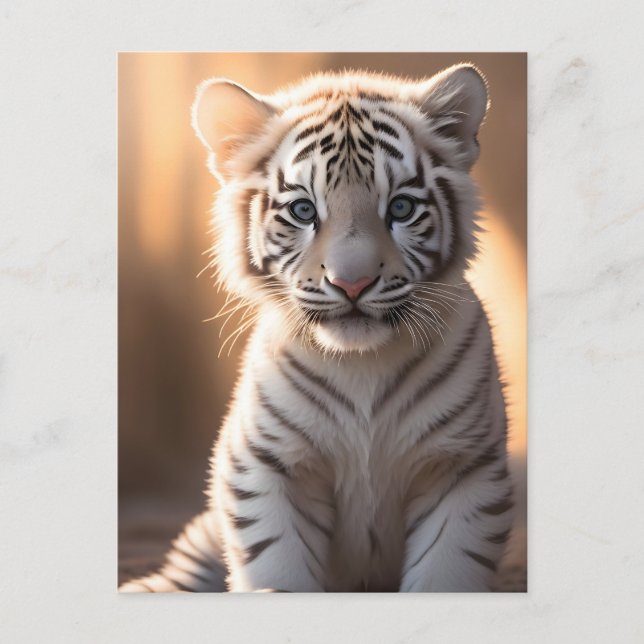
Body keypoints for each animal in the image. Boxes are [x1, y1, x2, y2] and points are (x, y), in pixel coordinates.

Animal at [120, 63, 514, 593]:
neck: (363, 363)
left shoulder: (464, 467)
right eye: (303, 211)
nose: (352, 282)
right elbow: (275, 567)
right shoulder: (266, 464)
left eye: (401, 208)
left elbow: (445, 572)